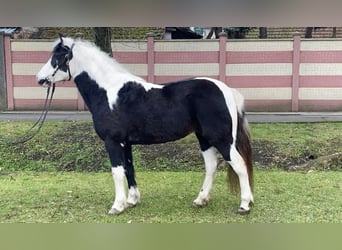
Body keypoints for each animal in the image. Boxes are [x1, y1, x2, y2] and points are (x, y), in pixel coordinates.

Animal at [36, 36, 254, 216]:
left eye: (58, 57)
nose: (40, 79)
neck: (108, 91)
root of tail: (226, 90)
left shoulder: (112, 142)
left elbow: (116, 171)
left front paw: (117, 206)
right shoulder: (125, 143)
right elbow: (129, 169)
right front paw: (131, 200)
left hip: (222, 139)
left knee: (239, 165)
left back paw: (244, 205)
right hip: (204, 139)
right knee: (211, 166)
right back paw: (201, 200)